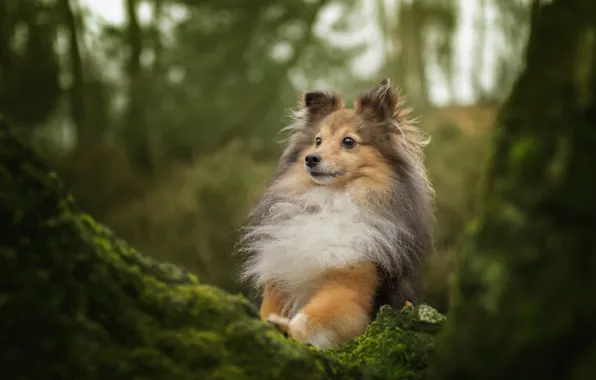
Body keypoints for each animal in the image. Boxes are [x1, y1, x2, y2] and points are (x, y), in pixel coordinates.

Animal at [235, 78, 436, 348]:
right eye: (318, 140)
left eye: (348, 141)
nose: (311, 158)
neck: (330, 201)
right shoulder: (279, 281)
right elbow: (267, 309)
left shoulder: (349, 286)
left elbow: (314, 314)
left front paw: (288, 328)